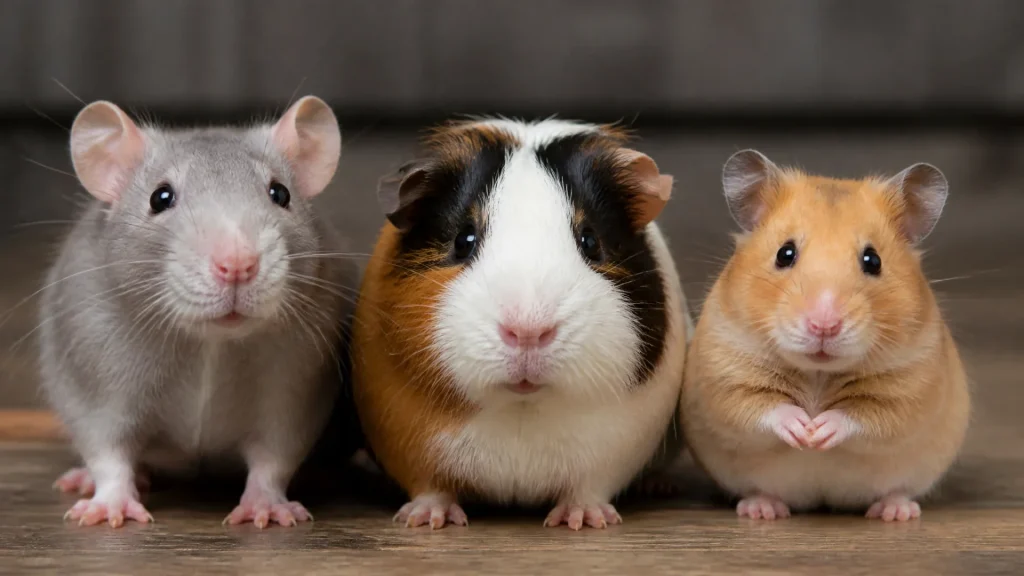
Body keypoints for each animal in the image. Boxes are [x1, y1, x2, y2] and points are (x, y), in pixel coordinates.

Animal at [39, 96, 356, 528]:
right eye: (160, 198)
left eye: (280, 193)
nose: (237, 264)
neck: (211, 343)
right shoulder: (95, 362)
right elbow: (105, 443)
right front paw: (110, 500)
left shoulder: (294, 377)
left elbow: (276, 448)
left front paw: (265, 503)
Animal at [351, 119, 690, 530]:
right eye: (464, 239)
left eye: (590, 241)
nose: (528, 331)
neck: (522, 408)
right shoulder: (410, 447)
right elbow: (431, 487)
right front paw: (426, 520)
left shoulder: (610, 457)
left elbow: (587, 489)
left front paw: (584, 520)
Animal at [681, 150, 970, 522]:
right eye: (785, 253)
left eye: (873, 260)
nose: (824, 325)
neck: (818, 371)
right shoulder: (725, 373)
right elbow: (759, 407)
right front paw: (803, 430)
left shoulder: (907, 389)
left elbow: (863, 416)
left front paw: (819, 432)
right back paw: (761, 509)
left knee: (897, 491)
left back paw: (896, 511)